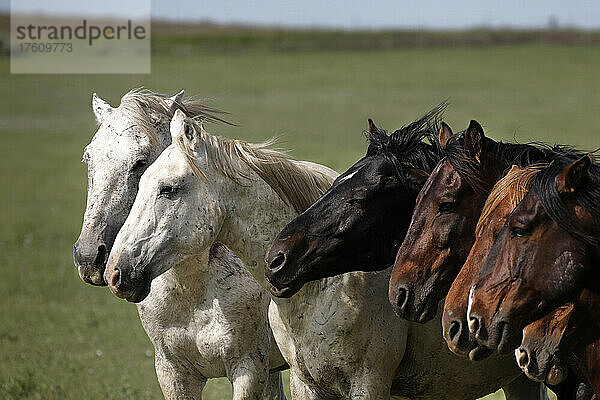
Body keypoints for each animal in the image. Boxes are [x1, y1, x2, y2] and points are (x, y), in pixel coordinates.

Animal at [76, 89, 288, 398]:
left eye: (141, 162)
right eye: (88, 158)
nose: (89, 256)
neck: (192, 288)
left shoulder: (248, 370)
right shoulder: (172, 372)